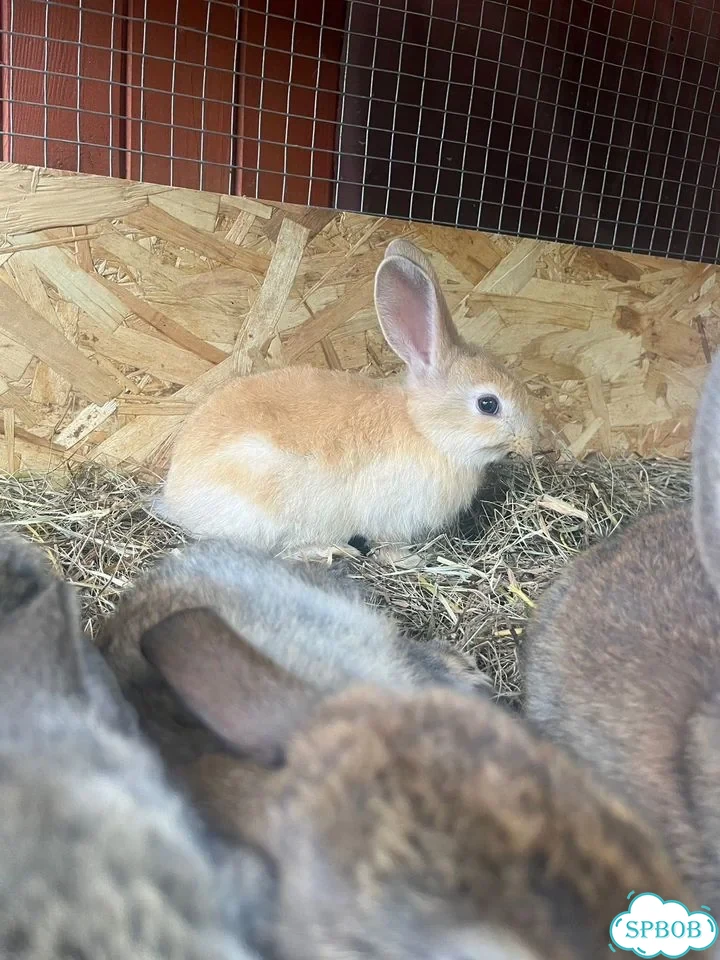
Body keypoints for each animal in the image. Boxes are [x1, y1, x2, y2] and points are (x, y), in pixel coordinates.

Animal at [159, 239, 538, 560]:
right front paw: (409, 560)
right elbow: (388, 547)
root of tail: (176, 497)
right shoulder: (390, 519)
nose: (531, 441)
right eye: (488, 404)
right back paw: (331, 550)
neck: (426, 430)